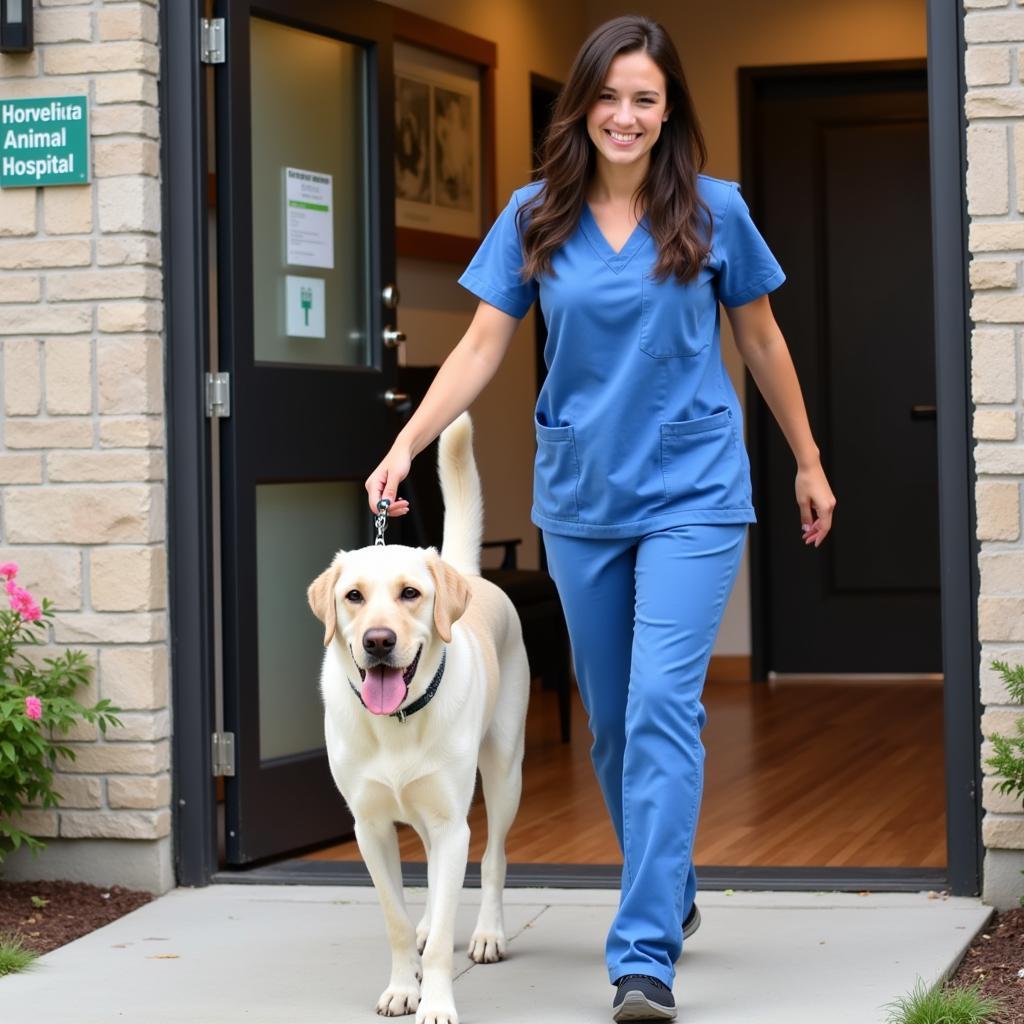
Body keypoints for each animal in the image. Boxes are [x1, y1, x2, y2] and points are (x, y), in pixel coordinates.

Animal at [305, 413, 528, 1024]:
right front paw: (404, 986)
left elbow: (452, 908)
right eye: (353, 596)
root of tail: (465, 572)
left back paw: (488, 933)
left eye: (410, 594)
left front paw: (436, 1002)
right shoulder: (370, 828)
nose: (379, 642)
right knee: (430, 871)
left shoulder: (454, 823)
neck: (398, 721)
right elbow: (397, 920)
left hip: (504, 773)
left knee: (494, 859)